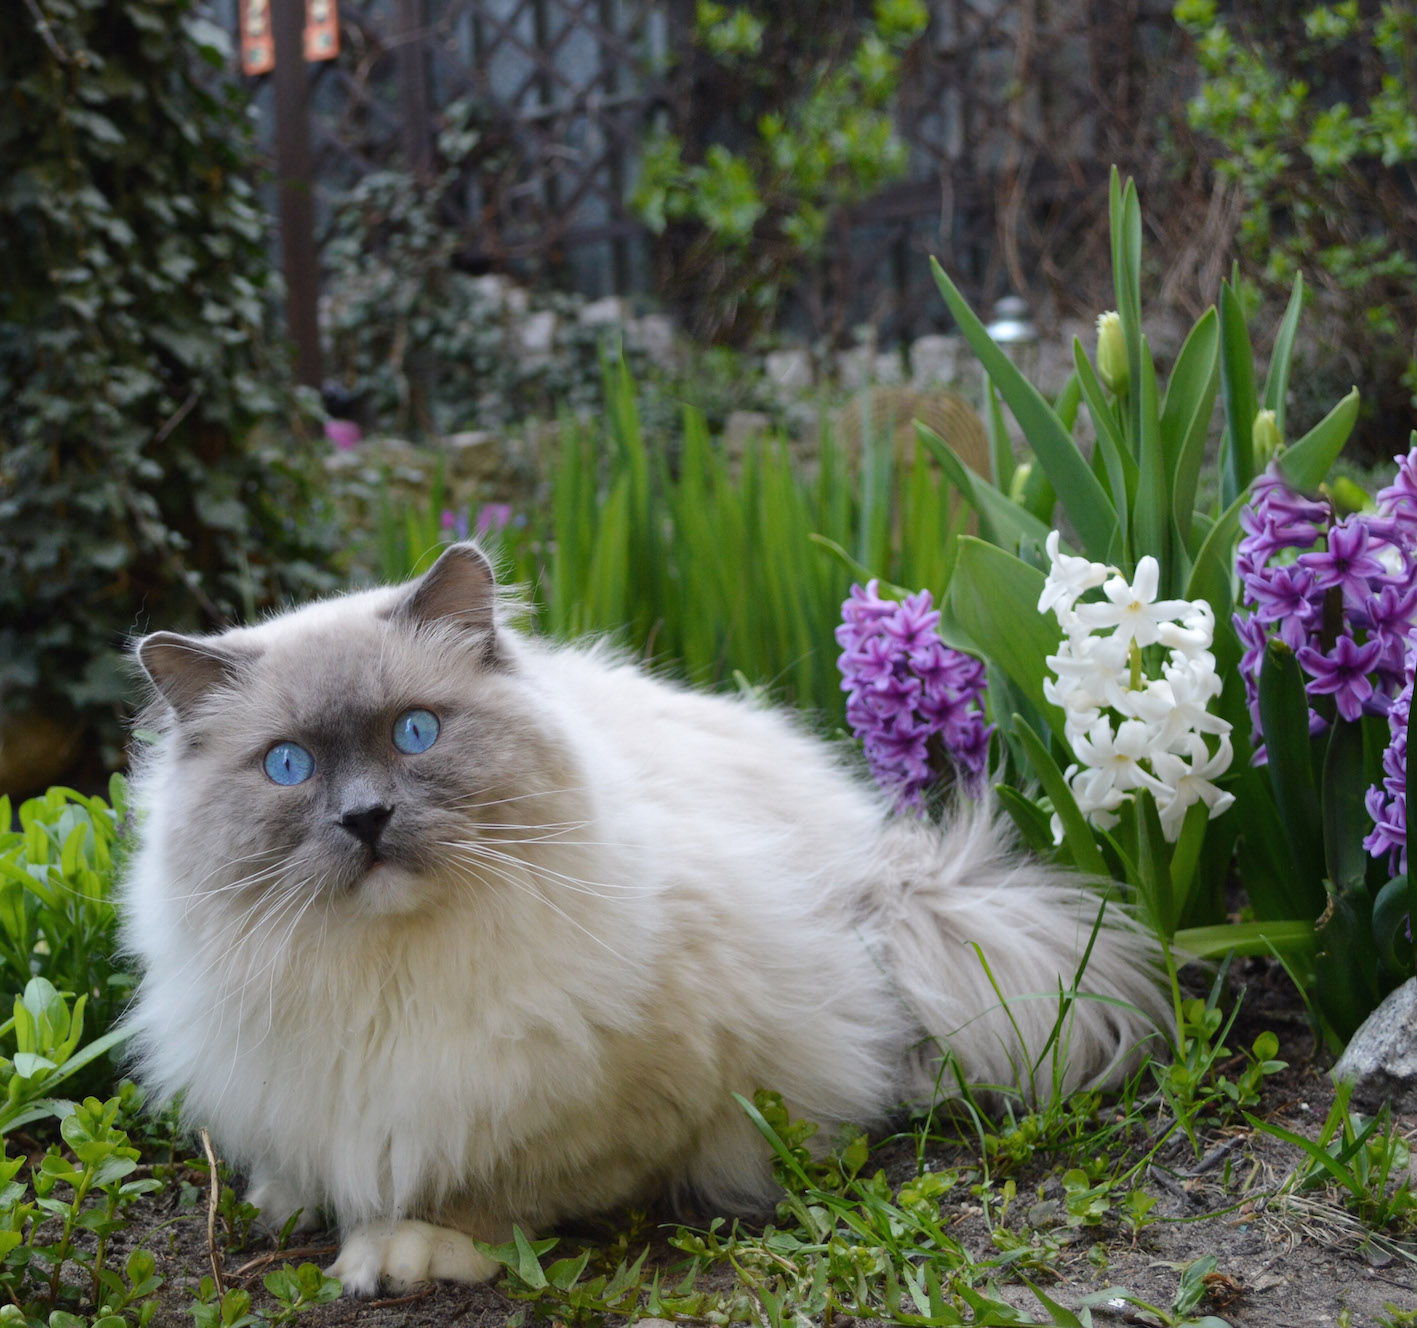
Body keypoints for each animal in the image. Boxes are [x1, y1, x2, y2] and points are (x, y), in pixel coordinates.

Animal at [119, 541, 1161, 1298]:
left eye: (416, 732)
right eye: (288, 766)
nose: (366, 819)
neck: (391, 974)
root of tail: (882, 863)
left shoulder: (605, 1109)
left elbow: (490, 1191)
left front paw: (406, 1250)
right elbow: (308, 1158)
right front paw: (291, 1200)